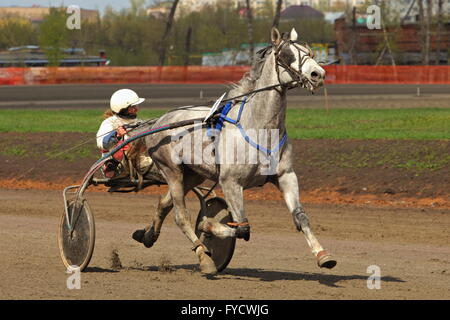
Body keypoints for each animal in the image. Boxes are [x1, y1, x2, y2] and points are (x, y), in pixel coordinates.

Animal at [132, 27, 336, 274]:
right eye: (286, 55)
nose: (318, 74)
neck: (259, 127)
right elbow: (242, 228)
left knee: (164, 204)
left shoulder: (286, 176)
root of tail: (160, 120)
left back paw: (147, 235)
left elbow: (301, 217)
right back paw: (204, 258)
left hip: (192, 174)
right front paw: (208, 226)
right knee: (181, 216)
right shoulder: (231, 182)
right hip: (171, 171)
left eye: (310, 52)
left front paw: (323, 255)